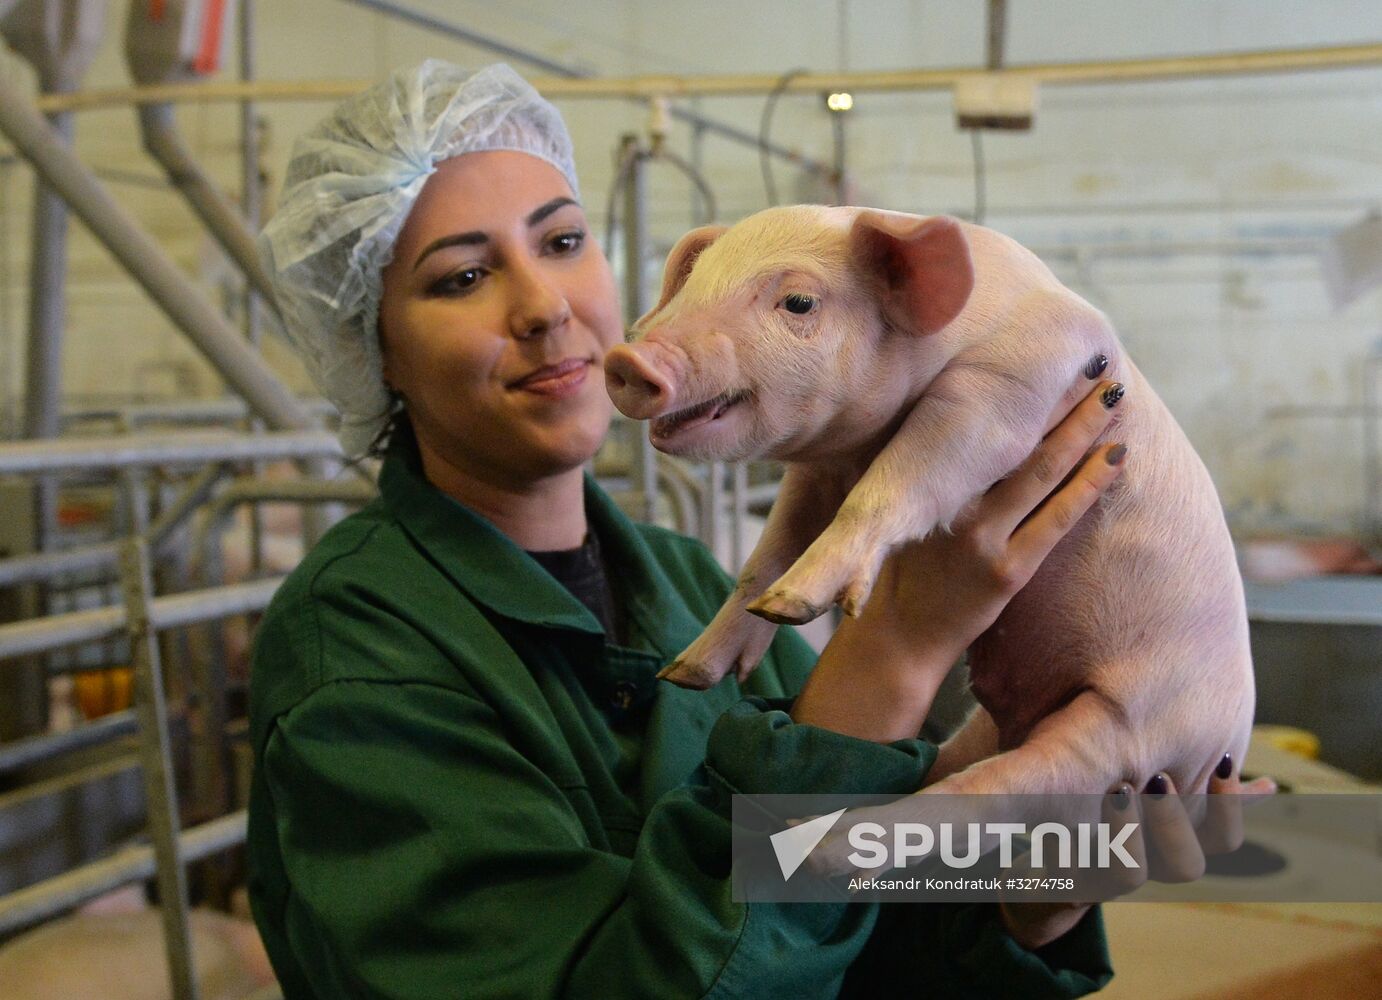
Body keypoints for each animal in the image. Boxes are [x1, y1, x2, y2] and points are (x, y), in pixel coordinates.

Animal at [605, 208, 1254, 817]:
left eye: (798, 302)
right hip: (1006, 730)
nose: (627, 358)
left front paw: (794, 604)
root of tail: (1221, 751)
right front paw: (690, 667)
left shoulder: (1008, 385)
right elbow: (764, 555)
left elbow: (895, 482)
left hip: (1134, 724)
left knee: (999, 790)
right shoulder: (818, 472)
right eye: (692, 286)